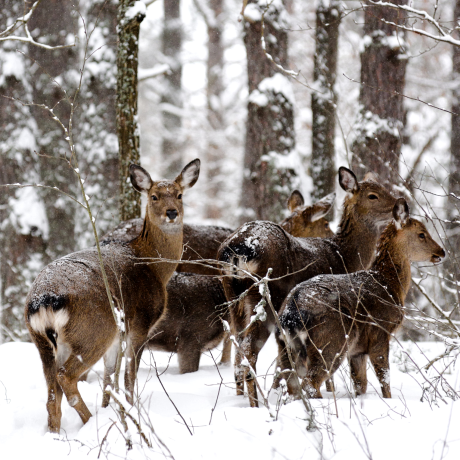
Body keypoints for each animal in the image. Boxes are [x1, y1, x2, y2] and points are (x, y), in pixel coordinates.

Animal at [23, 160, 199, 434]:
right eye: (154, 196)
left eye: (180, 195)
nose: (171, 213)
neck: (154, 267)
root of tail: (44, 299)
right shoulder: (140, 325)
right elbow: (128, 377)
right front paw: (130, 411)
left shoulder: (118, 336)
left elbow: (108, 379)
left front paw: (110, 408)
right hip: (94, 331)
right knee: (66, 377)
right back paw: (89, 421)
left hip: (42, 340)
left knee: (52, 395)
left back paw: (56, 433)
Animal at [217, 167, 398, 408]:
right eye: (373, 195)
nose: (400, 204)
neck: (344, 257)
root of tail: (239, 249)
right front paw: (326, 392)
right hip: (268, 299)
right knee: (249, 351)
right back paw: (258, 404)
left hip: (233, 299)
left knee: (238, 351)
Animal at [276, 198, 446, 398]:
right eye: (421, 234)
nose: (441, 252)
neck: (389, 285)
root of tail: (291, 313)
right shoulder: (380, 330)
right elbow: (384, 376)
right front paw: (388, 399)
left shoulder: (357, 350)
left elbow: (360, 384)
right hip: (332, 340)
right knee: (310, 383)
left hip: (284, 346)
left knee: (292, 384)